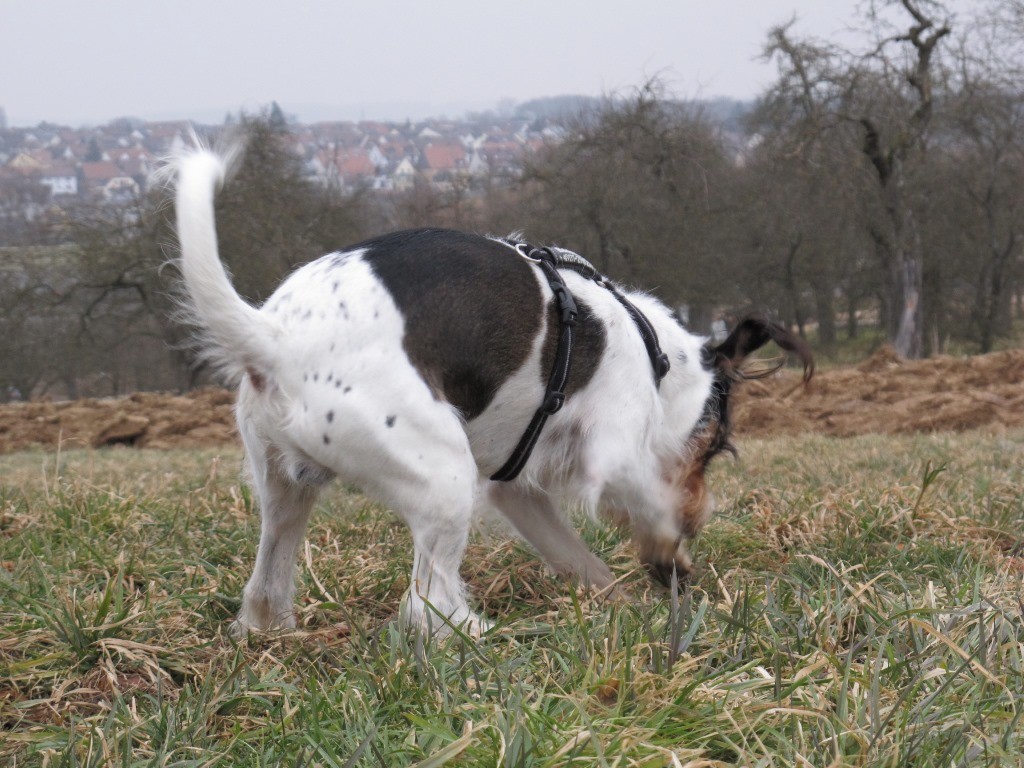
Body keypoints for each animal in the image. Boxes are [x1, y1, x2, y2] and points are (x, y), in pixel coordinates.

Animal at [169, 144, 815, 638]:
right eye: (716, 447)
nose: (703, 514)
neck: (654, 351)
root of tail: (274, 337)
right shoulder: (614, 455)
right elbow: (651, 507)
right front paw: (669, 558)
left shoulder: (517, 490)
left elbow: (575, 554)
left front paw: (618, 600)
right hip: (442, 478)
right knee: (428, 605)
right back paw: (484, 637)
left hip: (286, 490)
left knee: (266, 584)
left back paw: (271, 632)